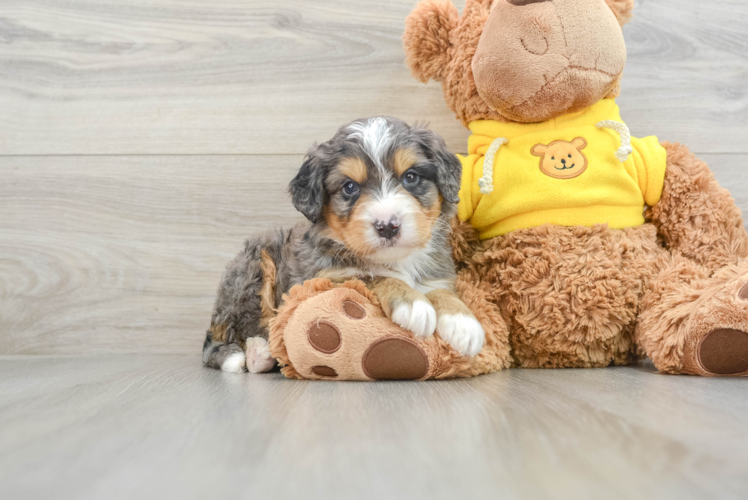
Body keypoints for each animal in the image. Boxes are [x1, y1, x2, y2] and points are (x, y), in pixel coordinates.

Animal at [205, 117, 486, 374]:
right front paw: (411, 303)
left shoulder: (438, 275)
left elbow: (441, 292)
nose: (387, 226)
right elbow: (372, 277)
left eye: (411, 177)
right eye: (350, 187)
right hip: (255, 268)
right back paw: (258, 353)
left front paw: (463, 322)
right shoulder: (322, 281)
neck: (395, 259)